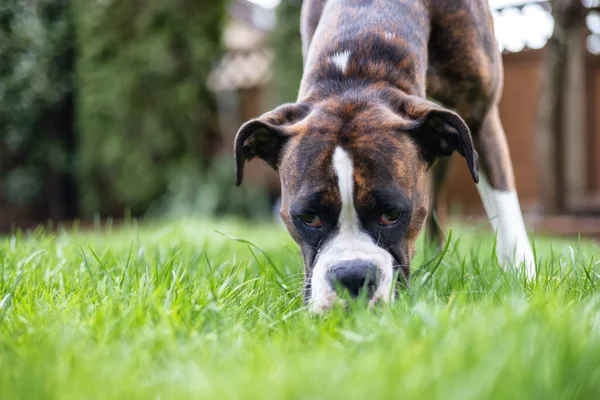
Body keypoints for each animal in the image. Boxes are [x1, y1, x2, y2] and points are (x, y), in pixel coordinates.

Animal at [233, 0, 536, 312]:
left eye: (391, 214)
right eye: (308, 217)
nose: (352, 276)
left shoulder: (481, 121)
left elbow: (506, 209)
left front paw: (522, 280)